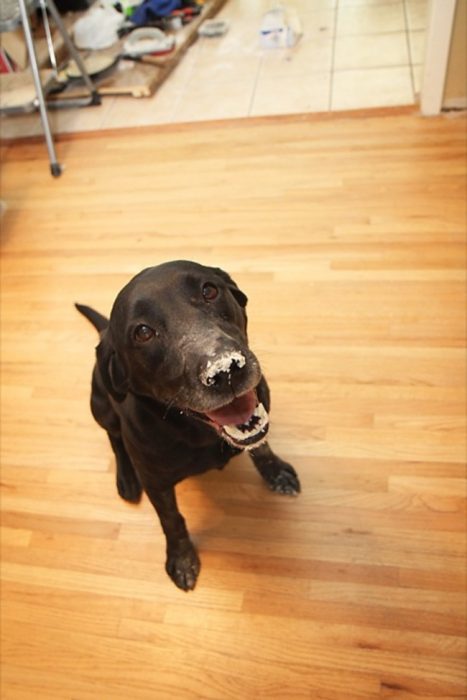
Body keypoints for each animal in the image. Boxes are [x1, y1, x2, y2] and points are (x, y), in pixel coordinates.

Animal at [77, 262, 300, 592]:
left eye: (210, 290)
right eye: (143, 332)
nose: (225, 369)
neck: (198, 433)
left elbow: (261, 447)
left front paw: (275, 469)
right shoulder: (156, 484)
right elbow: (171, 520)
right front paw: (182, 558)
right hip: (101, 406)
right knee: (115, 439)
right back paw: (126, 478)